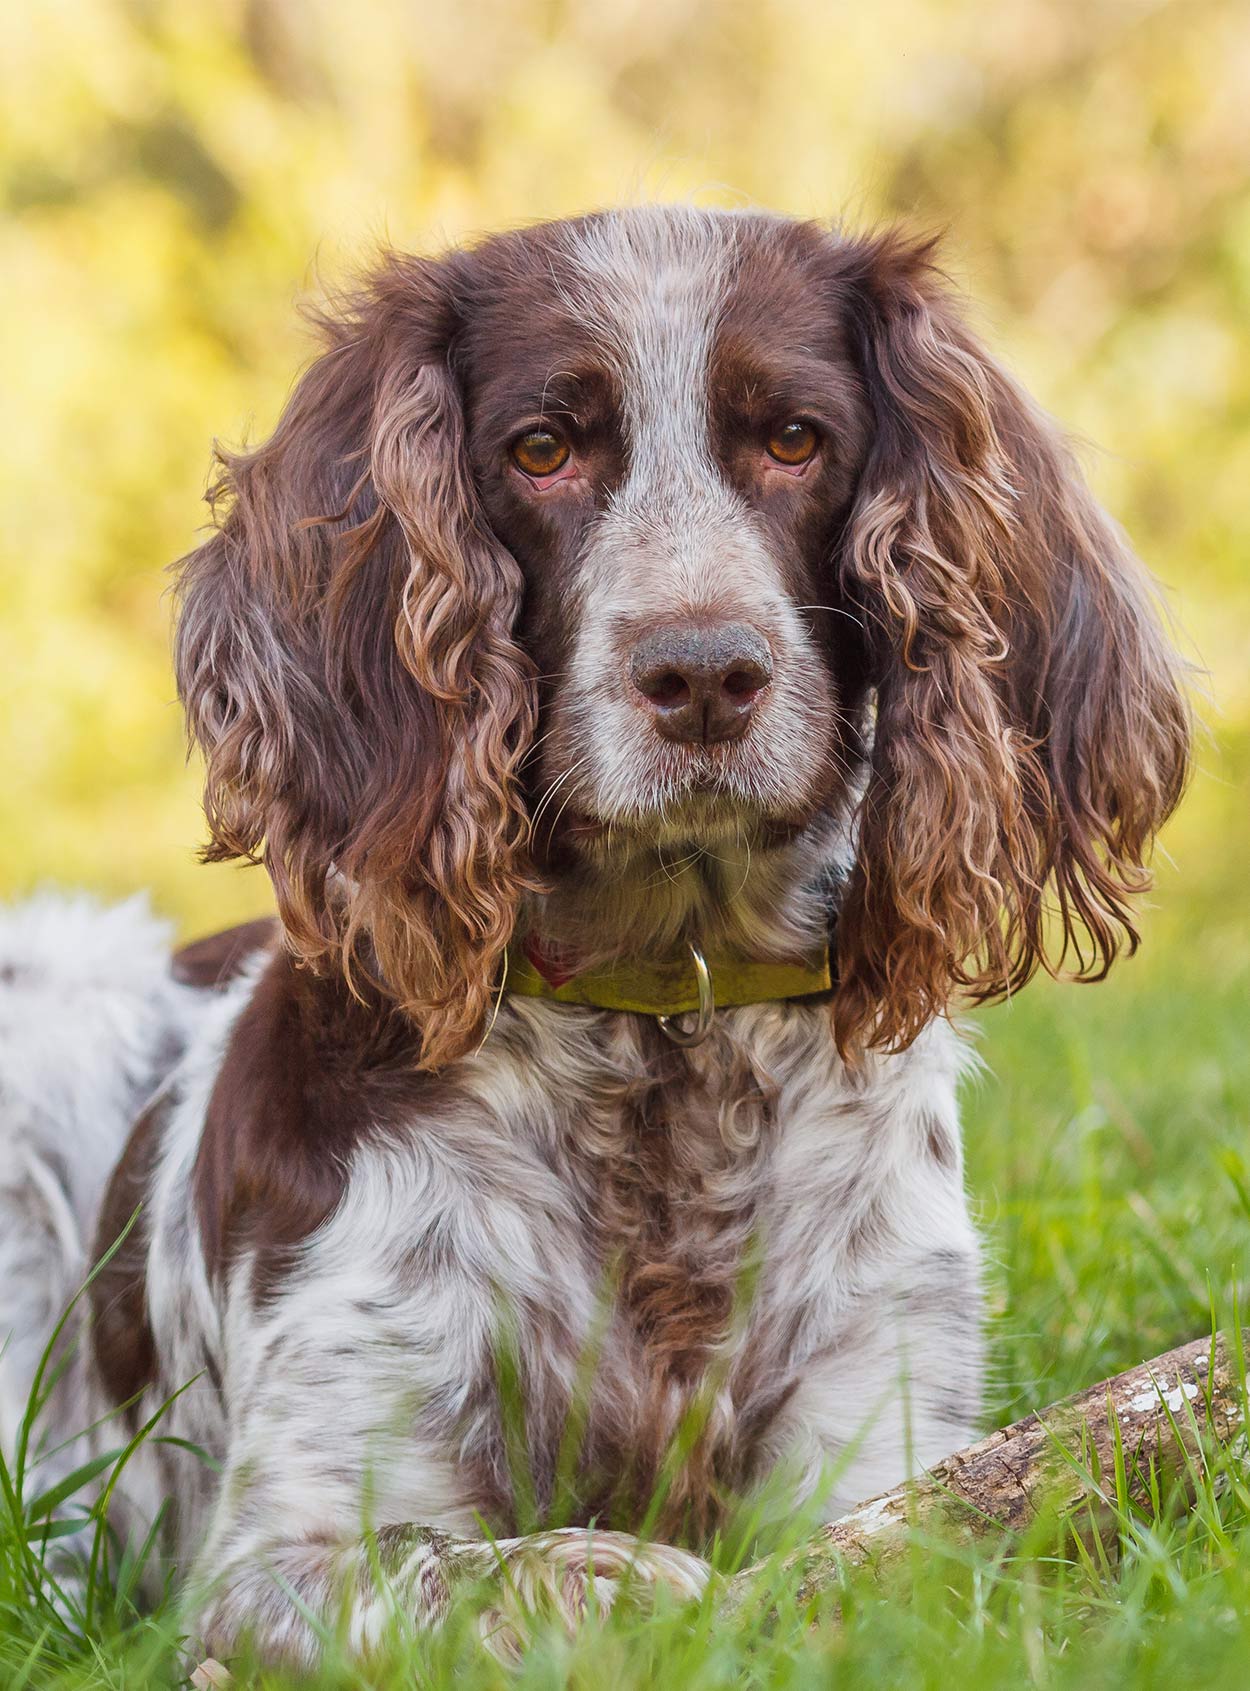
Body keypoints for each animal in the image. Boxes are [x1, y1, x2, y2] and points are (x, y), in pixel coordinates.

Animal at [0, 201, 1190, 1663]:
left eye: (793, 439)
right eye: (542, 449)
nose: (705, 674)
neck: (661, 1027)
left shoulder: (881, 1429)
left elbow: (893, 1552)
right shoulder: (284, 1538)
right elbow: (518, 1570)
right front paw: (641, 1580)